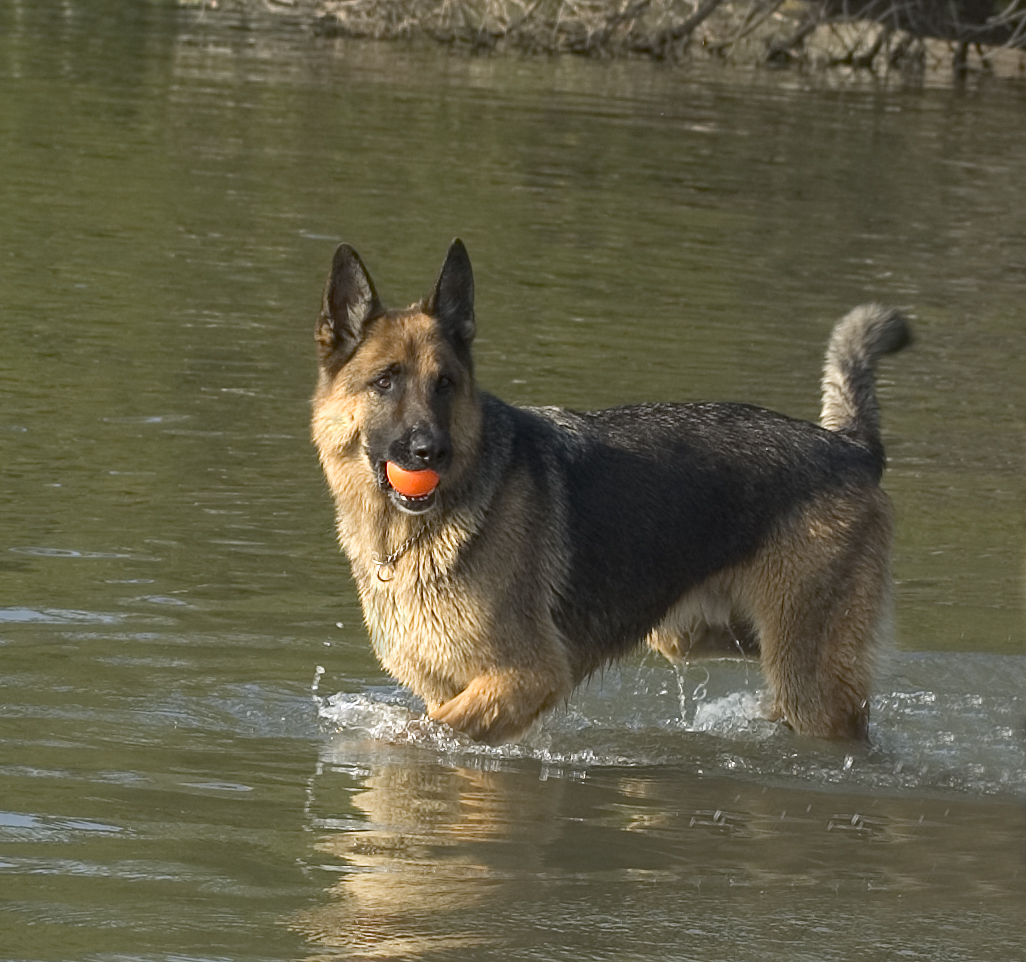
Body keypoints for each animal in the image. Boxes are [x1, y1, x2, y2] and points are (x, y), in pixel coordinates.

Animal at [311, 237, 915, 742]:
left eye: (446, 385)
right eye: (385, 382)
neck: (415, 534)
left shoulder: (527, 675)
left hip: (806, 678)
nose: (429, 453)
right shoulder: (455, 684)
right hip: (692, 634)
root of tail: (852, 447)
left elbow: (425, 730)